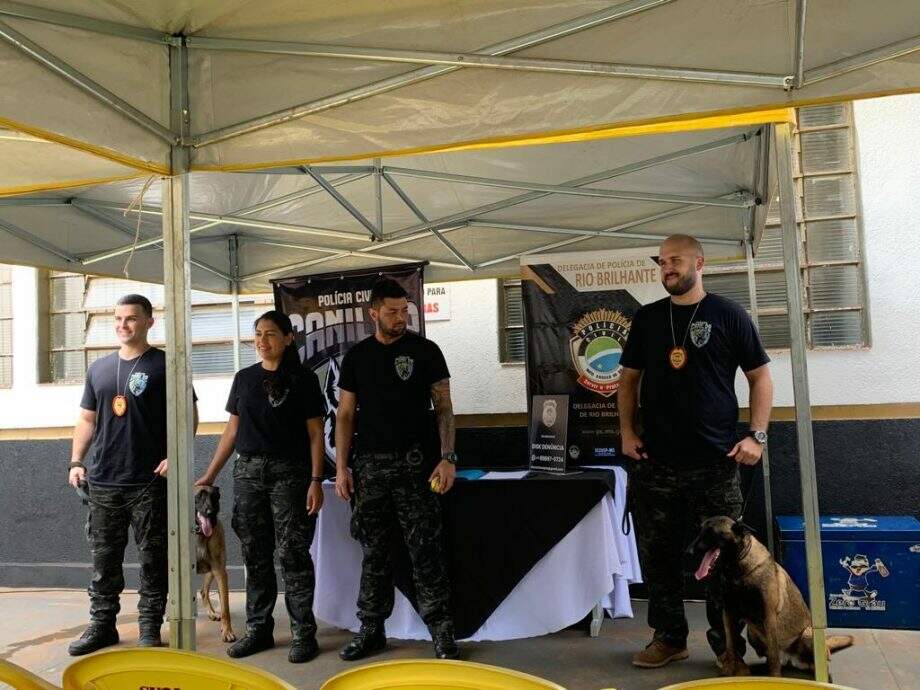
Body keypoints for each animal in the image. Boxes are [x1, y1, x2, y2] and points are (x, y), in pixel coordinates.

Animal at [194, 484, 235, 640]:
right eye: (199, 496)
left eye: (214, 497)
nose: (210, 512)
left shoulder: (220, 572)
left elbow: (225, 608)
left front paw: (227, 631)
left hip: (212, 569)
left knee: (204, 591)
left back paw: (211, 613)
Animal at [688, 516, 856, 672]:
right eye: (699, 531)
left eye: (711, 533)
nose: (688, 551)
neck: (738, 571)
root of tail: (790, 659)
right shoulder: (728, 613)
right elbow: (730, 646)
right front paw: (730, 669)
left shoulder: (769, 616)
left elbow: (774, 660)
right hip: (752, 633)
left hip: (808, 635)